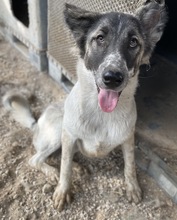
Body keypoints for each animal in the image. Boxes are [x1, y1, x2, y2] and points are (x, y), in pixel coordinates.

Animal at [3, 0, 168, 211]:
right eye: (100, 38)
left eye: (133, 42)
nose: (112, 78)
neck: (101, 113)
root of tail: (36, 123)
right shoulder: (69, 135)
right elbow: (65, 169)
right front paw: (62, 191)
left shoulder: (128, 139)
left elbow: (130, 166)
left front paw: (132, 188)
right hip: (59, 129)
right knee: (38, 159)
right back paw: (53, 171)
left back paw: (77, 166)